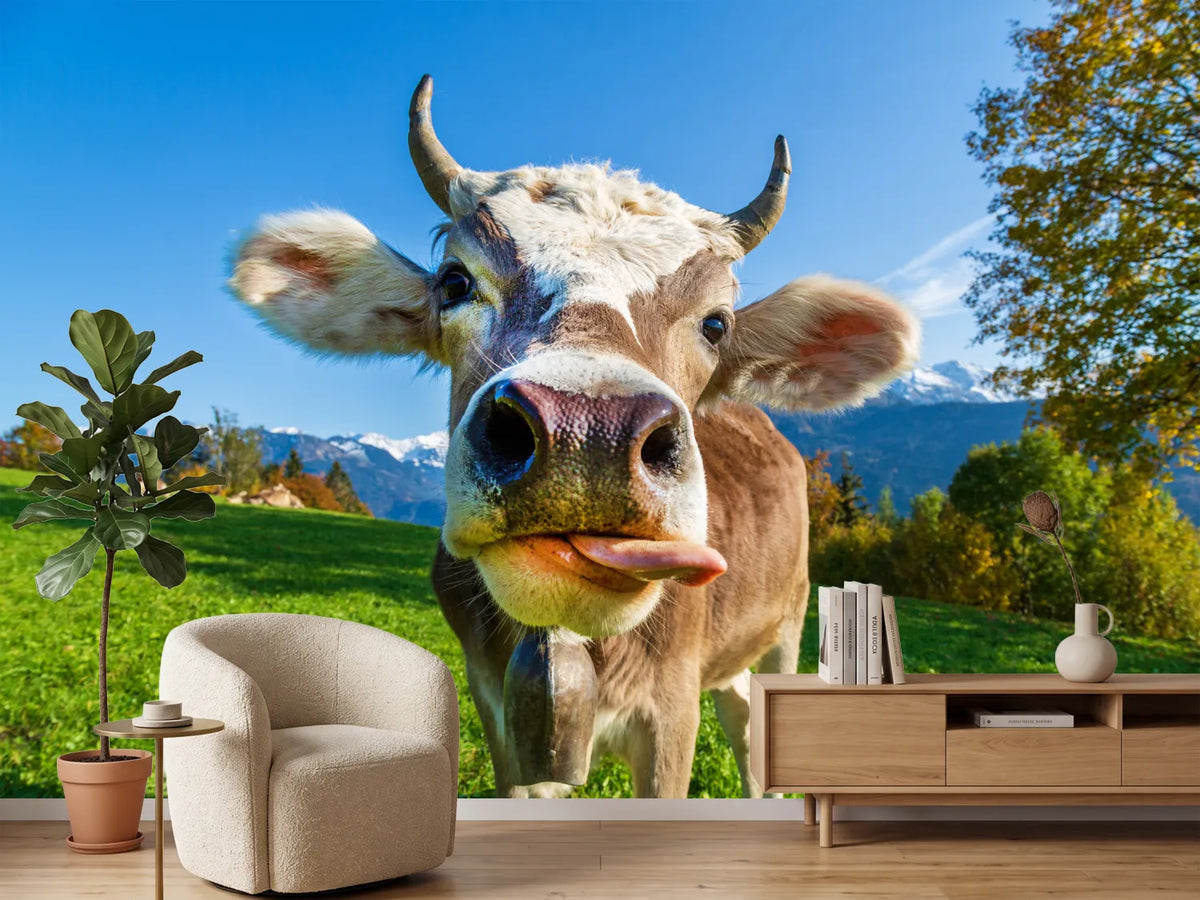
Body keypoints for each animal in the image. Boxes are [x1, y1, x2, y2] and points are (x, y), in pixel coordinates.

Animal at [230, 76, 919, 798]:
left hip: (786, 627)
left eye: (717, 324)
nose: (586, 434)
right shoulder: (497, 709)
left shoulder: (672, 712)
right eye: (454, 282)